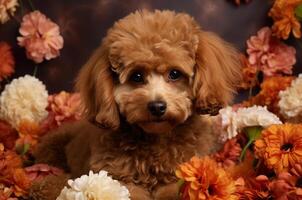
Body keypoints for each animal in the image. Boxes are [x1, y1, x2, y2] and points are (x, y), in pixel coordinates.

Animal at [29, 9, 242, 200]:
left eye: (175, 74)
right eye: (137, 76)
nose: (157, 106)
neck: (155, 139)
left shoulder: (180, 173)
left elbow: (173, 191)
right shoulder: (117, 177)